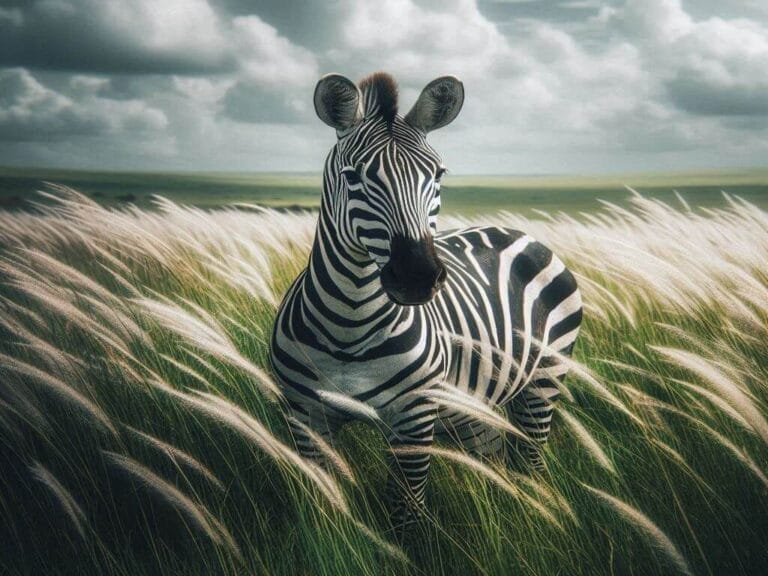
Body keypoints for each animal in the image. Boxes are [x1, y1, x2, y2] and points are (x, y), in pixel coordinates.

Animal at [270, 72, 582, 531]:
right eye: (353, 177)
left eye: (438, 174)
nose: (417, 277)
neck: (350, 325)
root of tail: (514, 230)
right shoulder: (306, 417)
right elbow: (323, 511)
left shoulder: (414, 419)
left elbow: (406, 515)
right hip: (475, 405)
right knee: (494, 461)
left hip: (545, 380)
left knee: (532, 462)